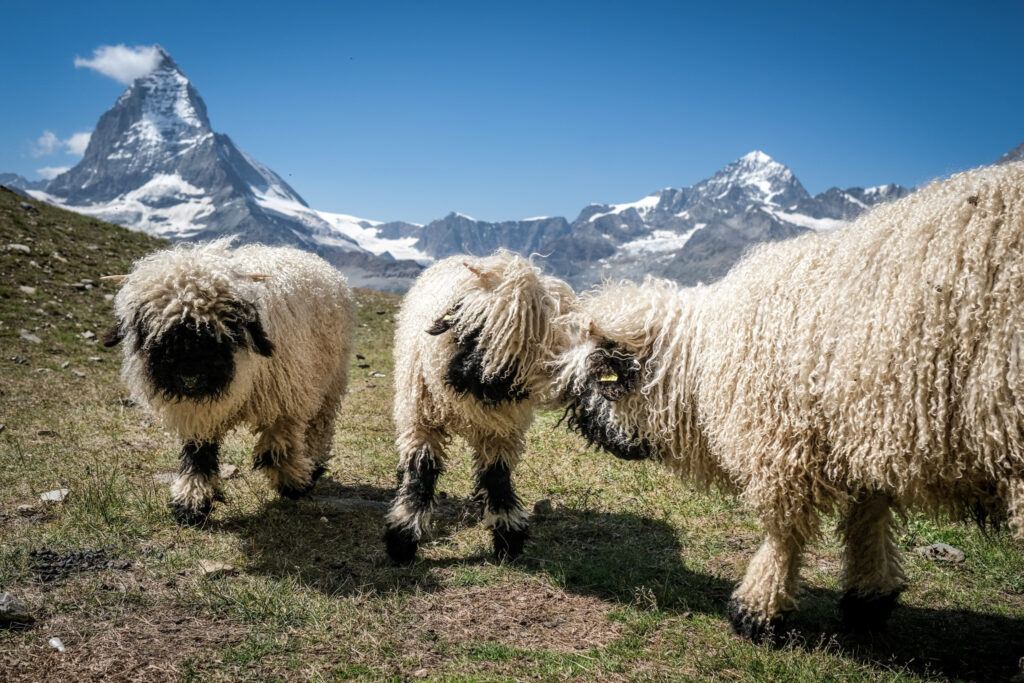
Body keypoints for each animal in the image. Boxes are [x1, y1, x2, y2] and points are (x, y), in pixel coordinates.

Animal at [101, 237, 354, 528]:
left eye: (221, 326)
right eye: (153, 330)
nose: (189, 374)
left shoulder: (284, 400)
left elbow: (275, 450)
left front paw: (294, 483)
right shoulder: (197, 413)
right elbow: (198, 455)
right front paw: (191, 503)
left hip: (330, 380)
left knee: (319, 427)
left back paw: (313, 465)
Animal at [385, 253, 577, 565]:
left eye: (523, 344)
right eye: (472, 329)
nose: (473, 376)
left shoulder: (502, 430)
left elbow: (497, 475)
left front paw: (507, 536)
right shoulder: (421, 419)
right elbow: (421, 470)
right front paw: (402, 538)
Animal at [557, 161, 1024, 643]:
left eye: (596, 379)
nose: (578, 421)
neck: (704, 358)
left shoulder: (782, 442)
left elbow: (784, 531)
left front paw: (758, 611)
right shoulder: (864, 429)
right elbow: (868, 518)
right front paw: (869, 598)